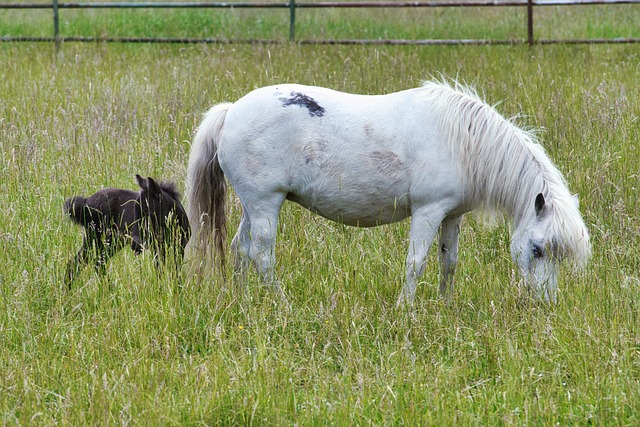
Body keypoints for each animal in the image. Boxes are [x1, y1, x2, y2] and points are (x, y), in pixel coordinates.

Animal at [184, 82, 592, 304]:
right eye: (537, 249)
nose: (545, 303)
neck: (463, 142)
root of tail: (230, 112)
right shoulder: (428, 211)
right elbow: (416, 263)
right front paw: (405, 309)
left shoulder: (452, 214)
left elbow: (449, 261)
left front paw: (445, 306)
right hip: (266, 204)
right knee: (262, 255)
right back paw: (283, 306)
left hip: (254, 206)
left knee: (241, 249)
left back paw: (245, 303)